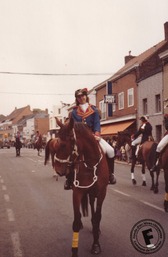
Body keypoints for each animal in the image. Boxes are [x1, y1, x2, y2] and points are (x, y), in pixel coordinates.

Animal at [54, 116, 109, 256]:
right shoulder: (77, 192)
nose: (57, 170)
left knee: (94, 212)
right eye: (55, 143)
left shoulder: (101, 193)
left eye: (63, 144)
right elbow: (76, 221)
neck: (91, 164)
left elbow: (97, 217)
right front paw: (74, 250)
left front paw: (96, 245)